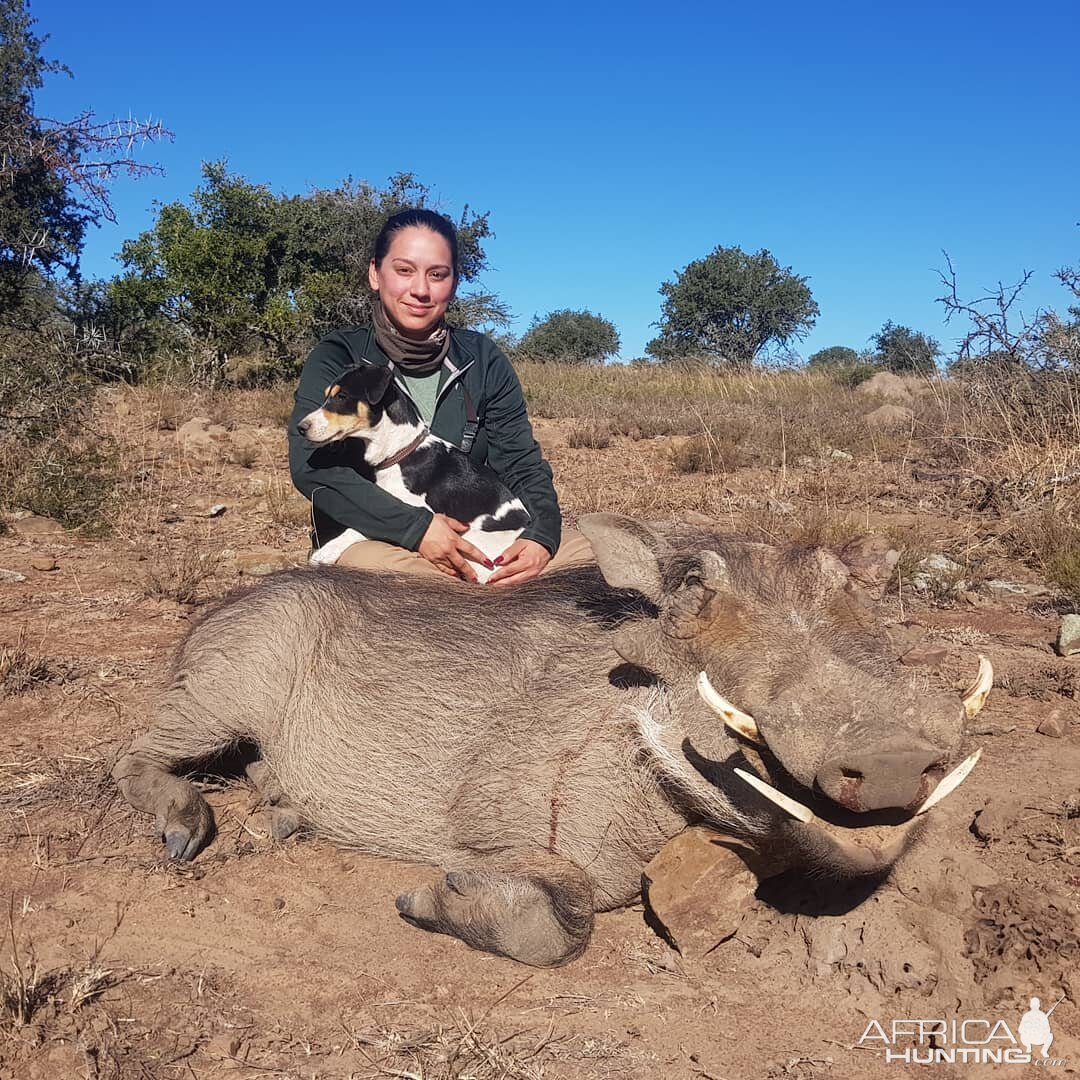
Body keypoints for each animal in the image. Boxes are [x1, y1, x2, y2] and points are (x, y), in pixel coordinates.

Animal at [295, 365, 531, 583]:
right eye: (327, 395)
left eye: (342, 396)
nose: (300, 428)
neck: (401, 452)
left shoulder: (423, 511)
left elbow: (362, 528)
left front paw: (327, 551)